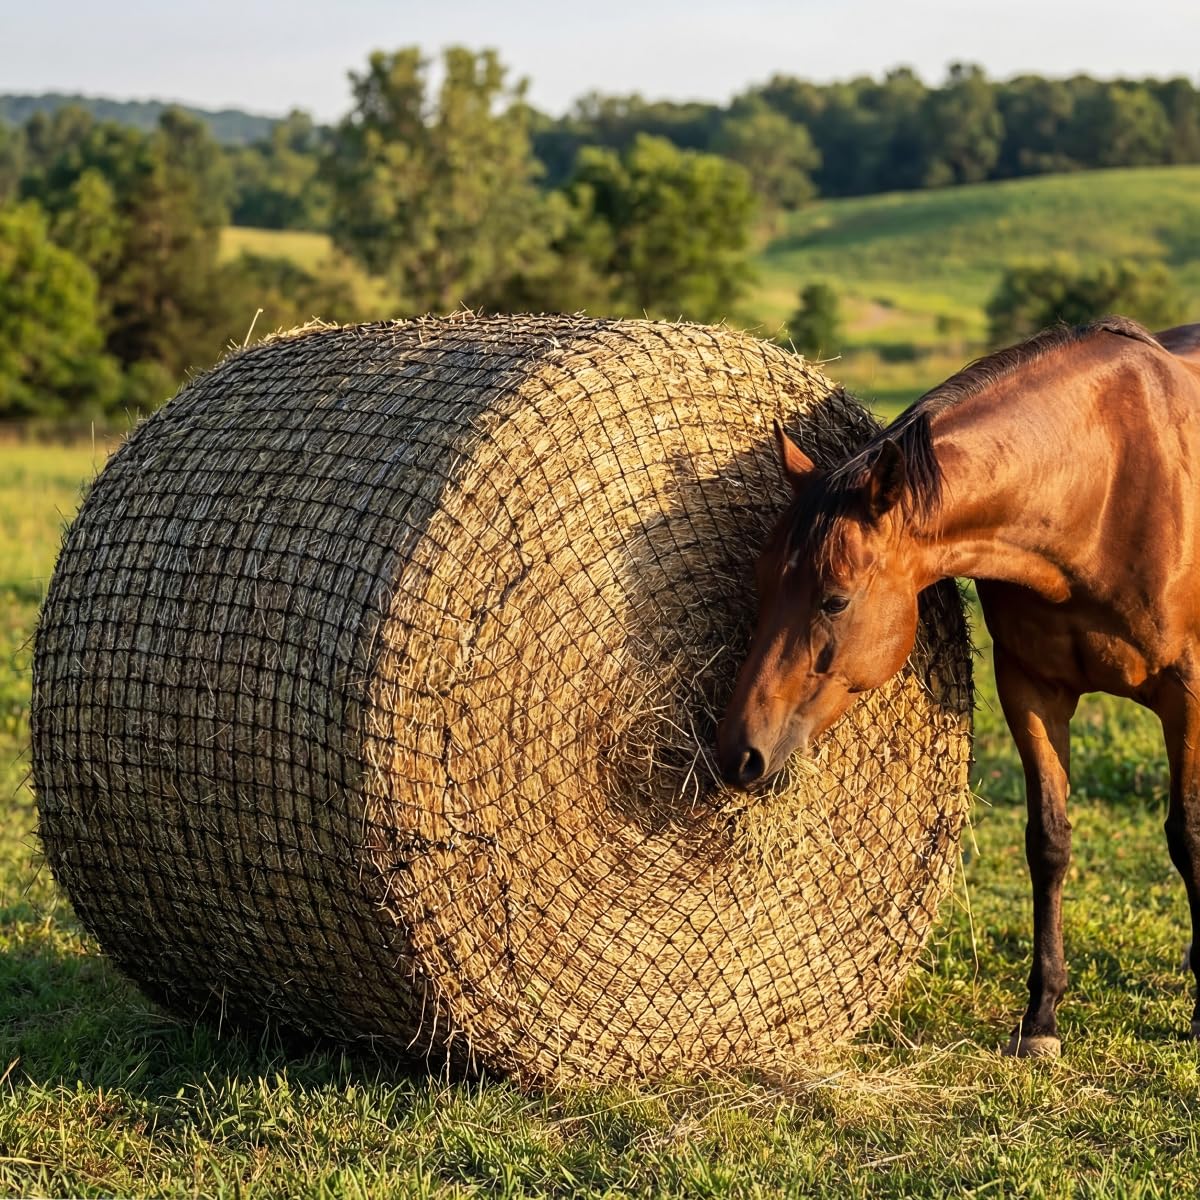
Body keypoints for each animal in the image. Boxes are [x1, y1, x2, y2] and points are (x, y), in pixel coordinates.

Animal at [717, 315, 1200, 1056]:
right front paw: (1041, 1018)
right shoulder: (1031, 688)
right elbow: (1048, 842)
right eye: (762, 583)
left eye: (834, 599)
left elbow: (1189, 836)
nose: (738, 753)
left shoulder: (1187, 693)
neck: (1104, 485)